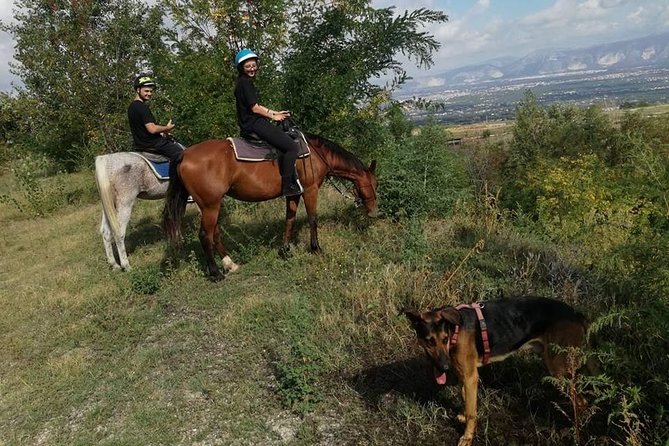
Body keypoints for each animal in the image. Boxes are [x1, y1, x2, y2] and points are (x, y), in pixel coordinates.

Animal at [162, 134, 379, 280]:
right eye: (374, 184)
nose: (374, 213)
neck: (316, 155)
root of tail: (184, 154)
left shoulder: (294, 193)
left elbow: (290, 219)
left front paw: (285, 250)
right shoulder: (310, 190)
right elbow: (312, 218)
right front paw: (316, 248)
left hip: (212, 205)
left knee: (214, 233)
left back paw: (231, 264)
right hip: (210, 205)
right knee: (205, 235)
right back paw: (216, 273)